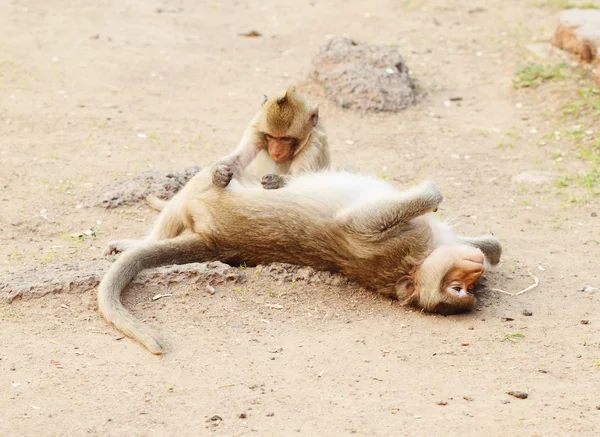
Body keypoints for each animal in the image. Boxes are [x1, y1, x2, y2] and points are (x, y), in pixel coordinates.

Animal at [98, 167, 502, 354]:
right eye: (458, 287)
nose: (476, 272)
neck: (415, 264)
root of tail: (215, 241)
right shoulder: (408, 245)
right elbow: (490, 242)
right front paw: (490, 249)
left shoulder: (395, 246)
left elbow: (359, 224)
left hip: (205, 200)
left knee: (201, 184)